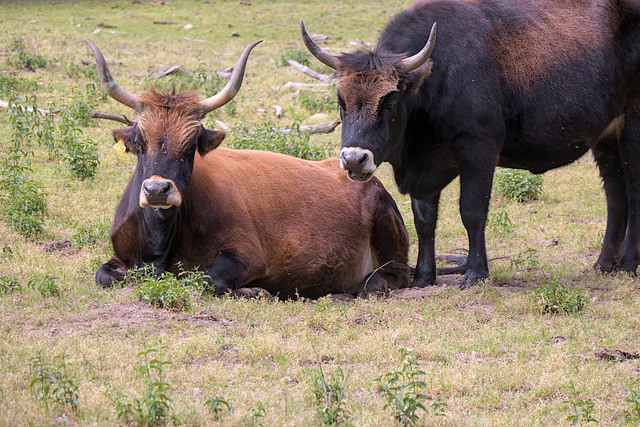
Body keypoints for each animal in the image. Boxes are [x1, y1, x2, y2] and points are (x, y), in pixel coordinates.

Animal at [85, 41, 410, 300]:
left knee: (392, 276)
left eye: (190, 147)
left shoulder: (247, 256)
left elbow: (208, 281)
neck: (159, 245)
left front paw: (256, 291)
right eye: (139, 143)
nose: (156, 190)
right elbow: (104, 275)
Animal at [300, 0, 640, 290]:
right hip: (607, 136)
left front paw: (476, 273)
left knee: (632, 192)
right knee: (615, 195)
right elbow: (424, 221)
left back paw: (628, 265)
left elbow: (472, 211)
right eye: (341, 103)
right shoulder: (424, 168)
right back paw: (604, 264)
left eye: (390, 104)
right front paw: (423, 277)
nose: (354, 159)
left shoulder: (479, 150)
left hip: (633, 126)